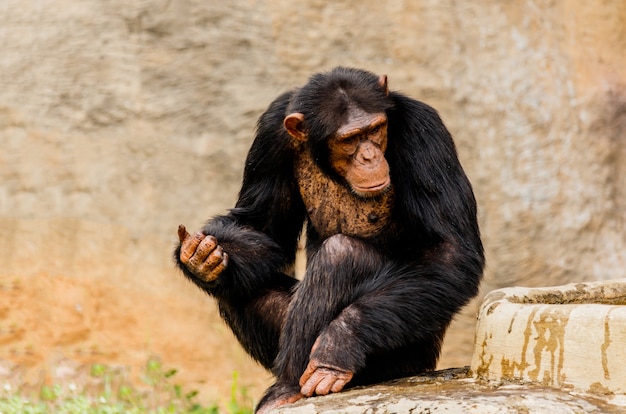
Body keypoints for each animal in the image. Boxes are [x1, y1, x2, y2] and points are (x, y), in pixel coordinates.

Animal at [173, 66, 486, 412]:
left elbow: (449, 252)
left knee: (342, 254)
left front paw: (340, 343)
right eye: (349, 139)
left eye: (375, 129)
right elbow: (263, 228)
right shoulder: (271, 134)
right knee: (237, 287)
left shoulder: (426, 134)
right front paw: (202, 256)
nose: (369, 156)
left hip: (406, 355)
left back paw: (292, 386)